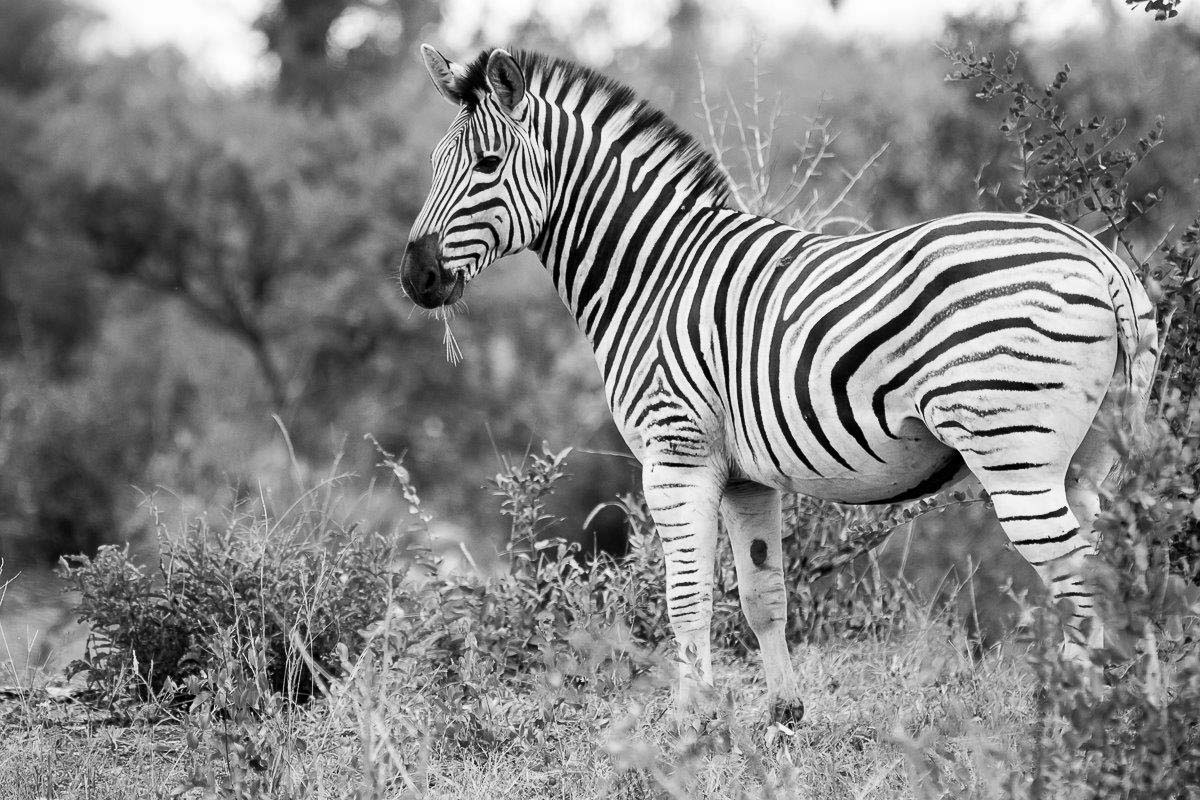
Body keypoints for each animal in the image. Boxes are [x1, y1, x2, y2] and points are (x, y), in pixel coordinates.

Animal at [399, 46, 1157, 724]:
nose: (415, 279)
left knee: (1078, 580)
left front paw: (691, 725)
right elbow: (762, 594)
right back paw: (1127, 708)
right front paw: (784, 714)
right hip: (1092, 460)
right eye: (434, 165)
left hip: (1016, 454)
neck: (653, 273)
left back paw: (1078, 719)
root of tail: (1094, 255)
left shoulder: (675, 455)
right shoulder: (746, 478)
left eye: (487, 165)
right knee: (1120, 567)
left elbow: (686, 597)